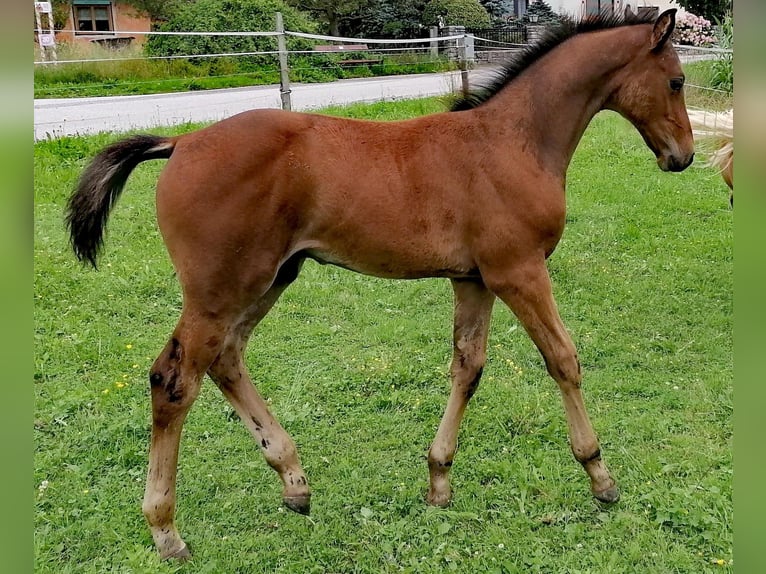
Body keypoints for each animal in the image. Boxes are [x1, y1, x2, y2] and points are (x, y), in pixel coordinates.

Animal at [67, 7, 696, 560]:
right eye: (676, 80)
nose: (683, 157)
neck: (511, 141)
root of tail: (181, 142)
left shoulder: (474, 279)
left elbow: (468, 366)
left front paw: (439, 481)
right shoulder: (518, 271)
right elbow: (563, 358)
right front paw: (600, 475)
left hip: (270, 277)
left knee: (226, 359)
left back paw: (293, 481)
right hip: (220, 290)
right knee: (173, 380)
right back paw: (166, 530)